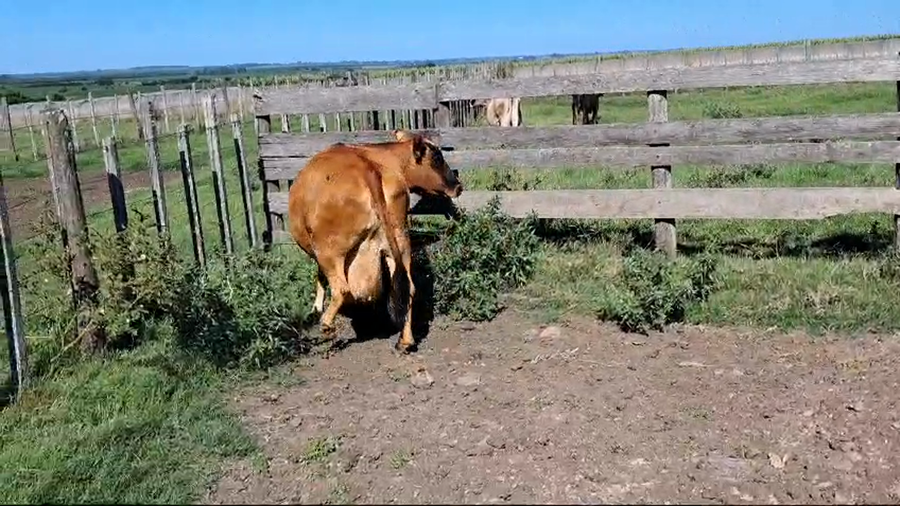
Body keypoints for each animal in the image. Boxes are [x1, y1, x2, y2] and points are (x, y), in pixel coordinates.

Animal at [286, 129, 463, 353]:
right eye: (437, 158)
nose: (458, 186)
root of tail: (368, 168)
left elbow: (319, 275)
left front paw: (316, 307)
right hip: (400, 242)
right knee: (408, 287)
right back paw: (405, 341)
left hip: (328, 249)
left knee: (342, 289)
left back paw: (326, 326)